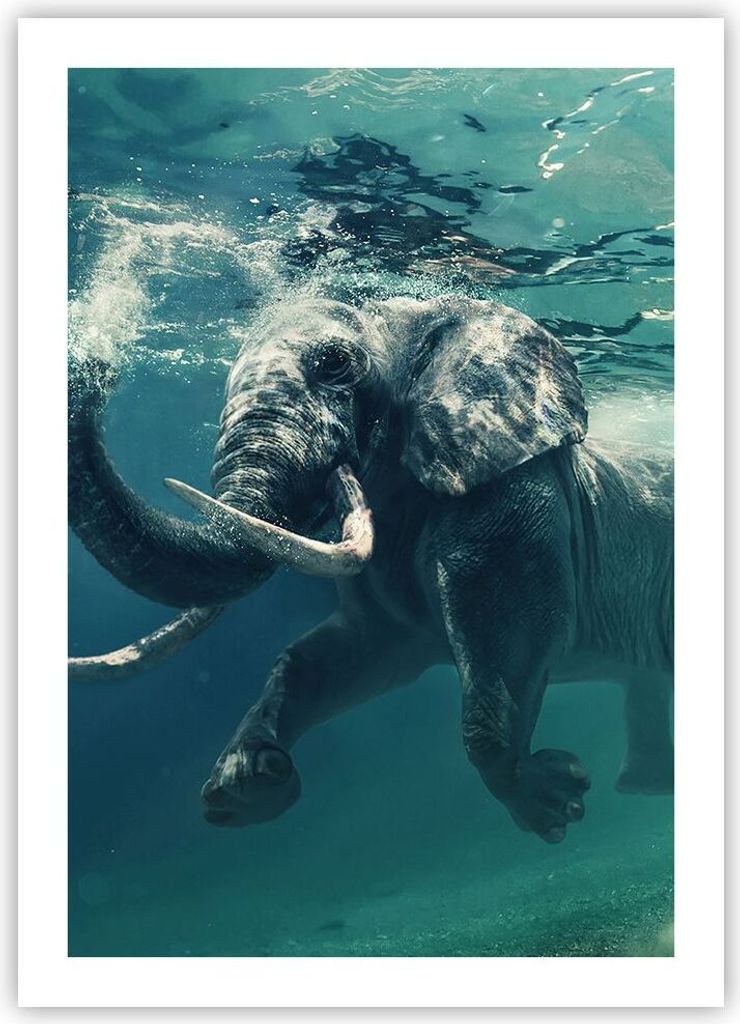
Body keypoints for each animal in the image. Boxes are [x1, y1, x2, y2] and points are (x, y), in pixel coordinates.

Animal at [68, 295, 674, 844]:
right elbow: (340, 656)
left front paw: (554, 802)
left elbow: (512, 639)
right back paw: (646, 786)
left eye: (335, 364)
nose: (94, 366)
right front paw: (248, 782)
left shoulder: (511, 501)